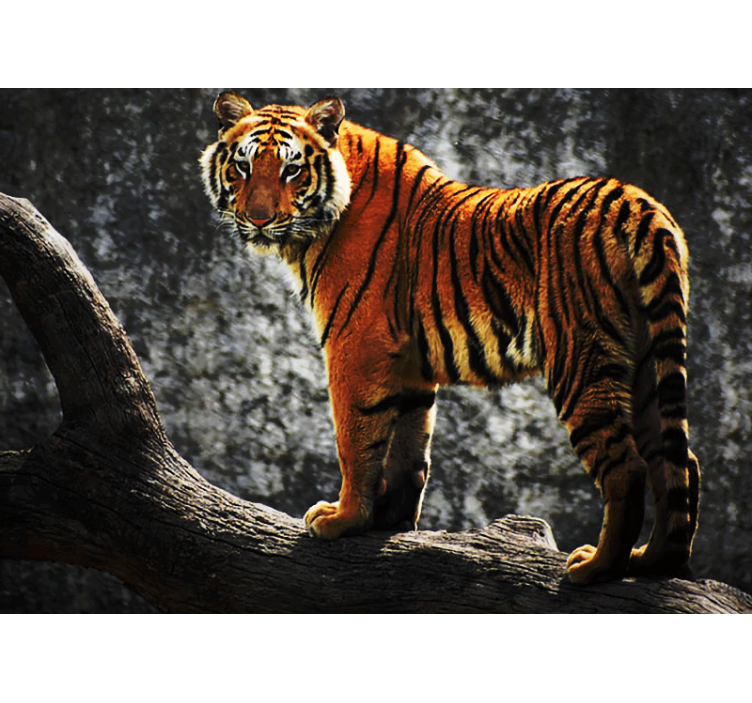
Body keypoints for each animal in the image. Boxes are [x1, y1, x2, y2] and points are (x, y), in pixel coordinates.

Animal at [200, 90, 700, 584]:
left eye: (292, 169)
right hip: (647, 362)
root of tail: (639, 204)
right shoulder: (408, 362)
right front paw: (390, 521)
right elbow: (409, 445)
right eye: (243, 167)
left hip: (581, 358)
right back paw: (653, 561)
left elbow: (356, 439)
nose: (258, 219)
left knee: (627, 467)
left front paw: (343, 519)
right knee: (677, 461)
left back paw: (595, 568)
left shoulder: (355, 344)